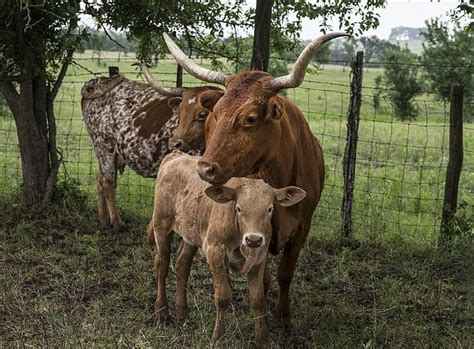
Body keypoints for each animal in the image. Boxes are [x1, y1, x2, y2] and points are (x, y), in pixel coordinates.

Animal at [81, 69, 222, 230]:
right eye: (179, 113)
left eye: (202, 114)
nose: (175, 143)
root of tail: (97, 81)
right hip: (104, 146)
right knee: (107, 181)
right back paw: (117, 222)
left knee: (100, 178)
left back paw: (104, 218)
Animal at [146, 152, 306, 346]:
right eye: (239, 208)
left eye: (270, 209)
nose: (253, 239)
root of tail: (176, 155)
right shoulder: (215, 253)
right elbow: (222, 297)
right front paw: (218, 336)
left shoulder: (259, 258)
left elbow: (258, 299)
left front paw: (262, 340)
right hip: (161, 224)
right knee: (162, 265)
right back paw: (162, 312)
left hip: (191, 233)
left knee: (182, 264)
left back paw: (182, 313)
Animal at [161, 31, 350, 324]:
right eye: (216, 114)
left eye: (250, 118)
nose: (204, 169)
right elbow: (266, 279)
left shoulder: (303, 227)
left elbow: (285, 274)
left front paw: (283, 317)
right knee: (182, 256)